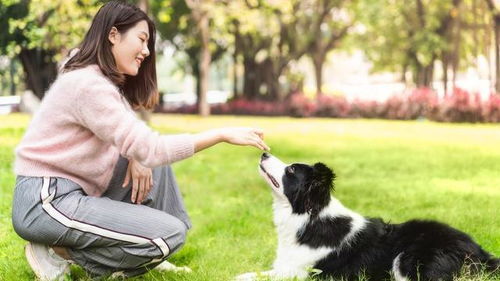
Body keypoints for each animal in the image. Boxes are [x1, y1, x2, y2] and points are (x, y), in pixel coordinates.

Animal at [236, 153, 498, 280]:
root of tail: (479, 251)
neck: (309, 216)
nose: (263, 153)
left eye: (291, 170)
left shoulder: (302, 273)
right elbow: (256, 272)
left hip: (407, 258)